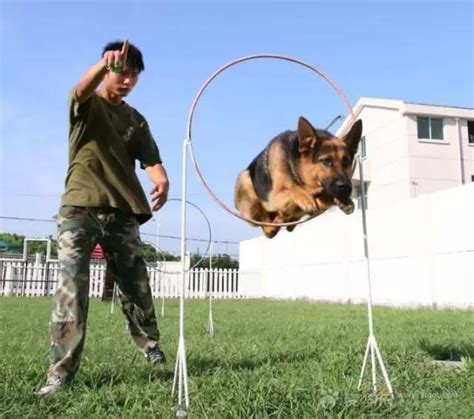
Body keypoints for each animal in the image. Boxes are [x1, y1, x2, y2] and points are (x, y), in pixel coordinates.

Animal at [234, 116, 362, 238]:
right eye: (327, 161)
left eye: (346, 162)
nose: (346, 187)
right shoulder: (272, 199)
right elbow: (292, 189)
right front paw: (304, 195)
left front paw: (343, 199)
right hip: (244, 179)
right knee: (268, 230)